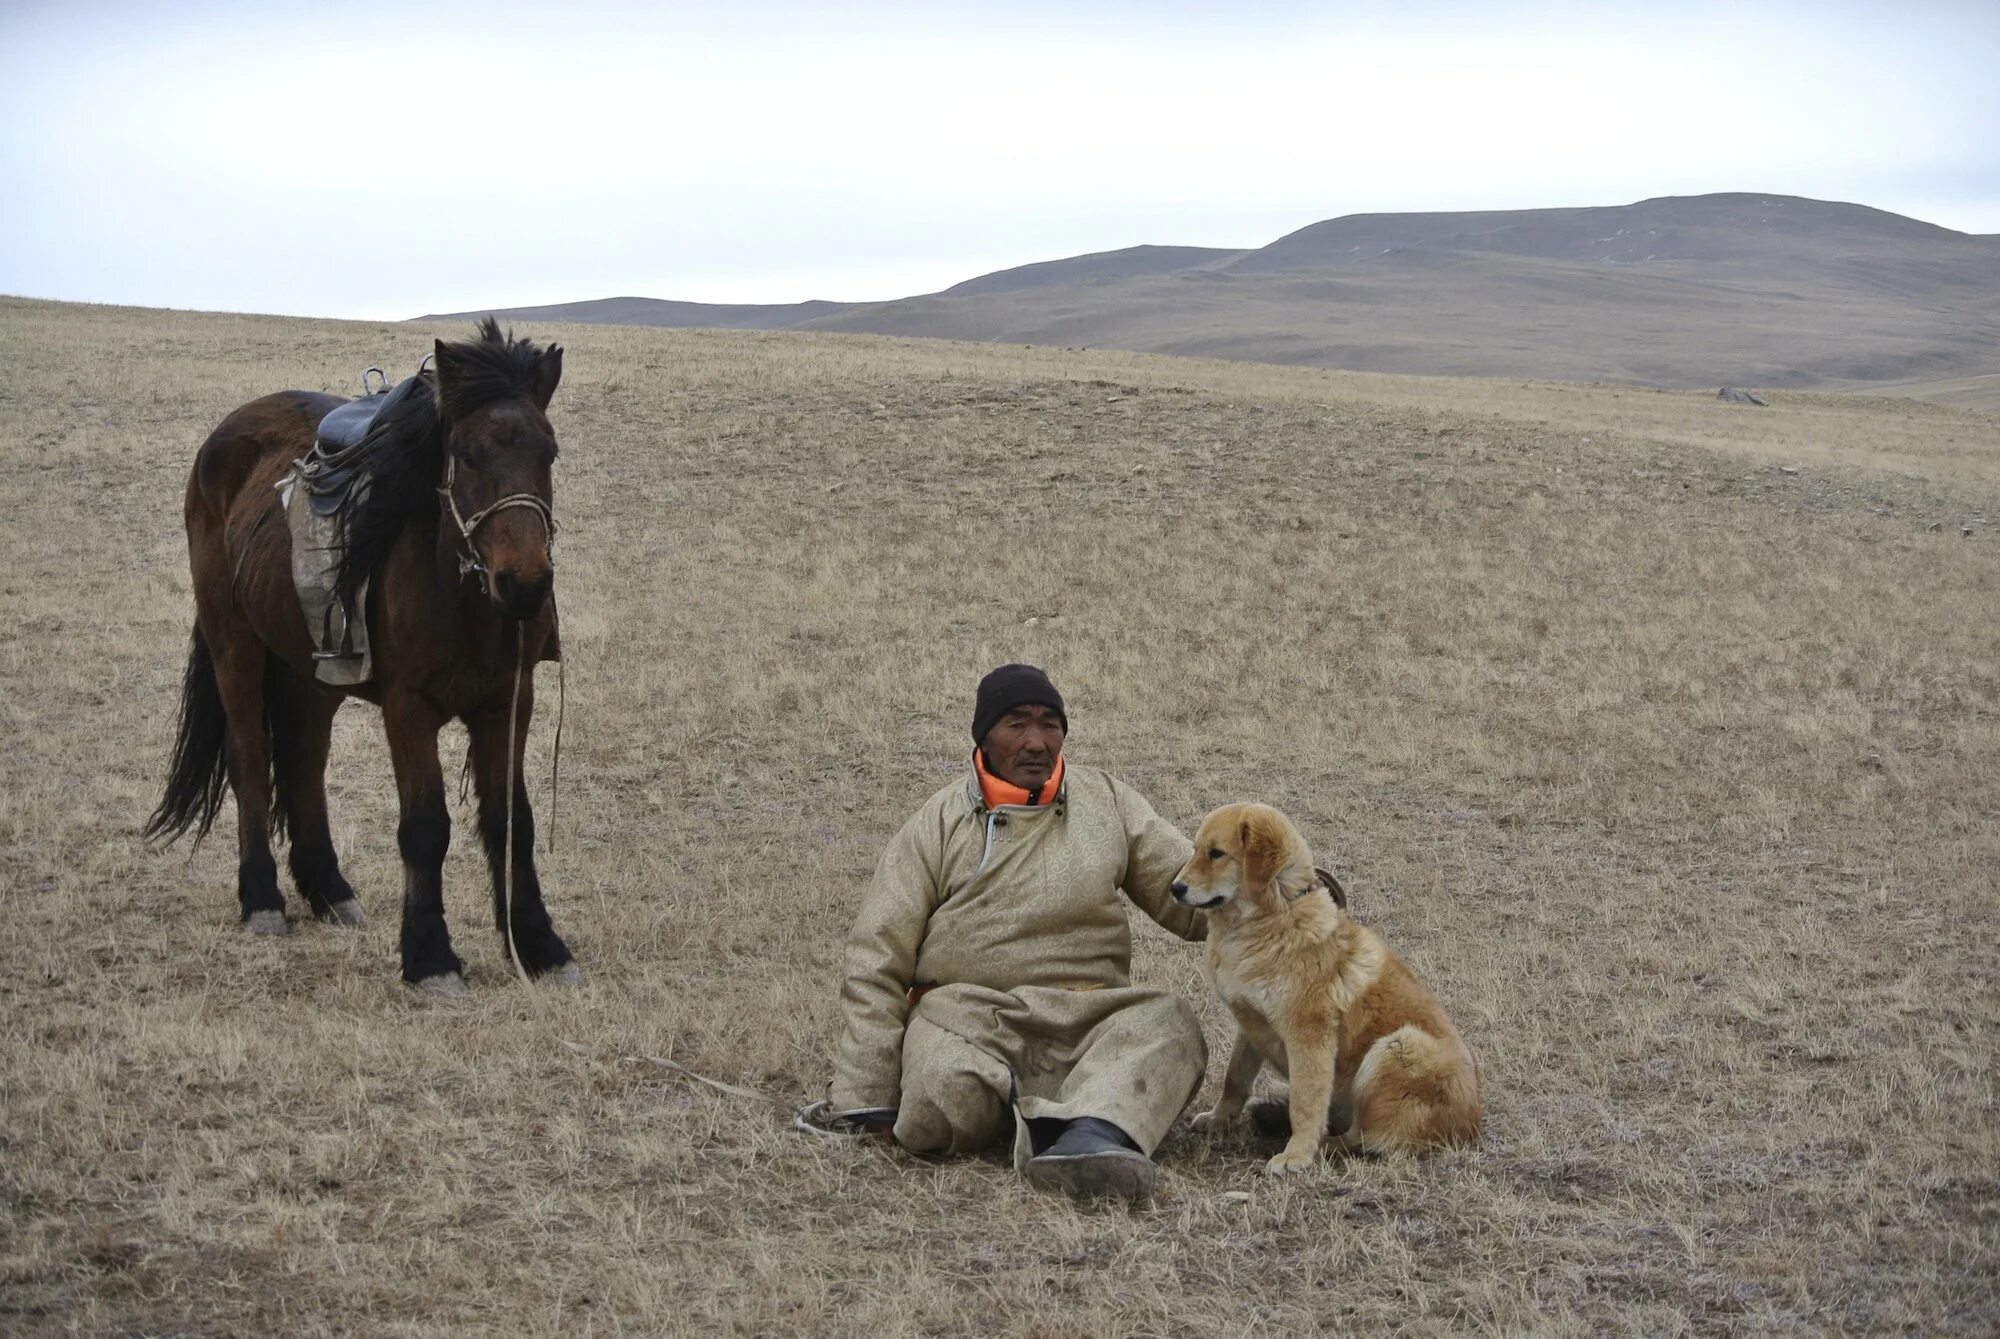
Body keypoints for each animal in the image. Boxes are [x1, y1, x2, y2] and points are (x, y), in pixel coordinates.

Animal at [148, 319, 580, 995]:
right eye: (467, 454)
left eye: (549, 454)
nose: (525, 584)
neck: (459, 593)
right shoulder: (408, 708)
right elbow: (425, 827)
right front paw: (430, 956)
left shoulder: (509, 701)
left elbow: (513, 819)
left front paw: (538, 945)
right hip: (233, 644)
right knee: (250, 759)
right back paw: (262, 898)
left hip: (314, 673)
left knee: (303, 761)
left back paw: (328, 888)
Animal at [1168, 807, 1480, 1175]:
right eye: (1196, 849)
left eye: (1216, 853)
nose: (1175, 888)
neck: (1272, 917)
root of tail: (1471, 1127)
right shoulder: (1251, 1023)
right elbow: (1236, 1079)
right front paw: (1219, 1119)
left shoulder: (1308, 1036)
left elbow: (1305, 1103)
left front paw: (1297, 1155)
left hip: (1397, 1047)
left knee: (1364, 1139)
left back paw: (1322, 1147)